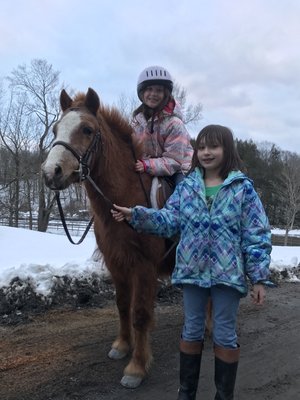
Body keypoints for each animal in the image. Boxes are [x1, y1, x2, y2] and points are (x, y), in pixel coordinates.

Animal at [41, 86, 175, 388]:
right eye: (55, 129)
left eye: (87, 129)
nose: (51, 172)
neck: (125, 200)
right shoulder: (117, 263)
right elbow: (123, 305)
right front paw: (122, 346)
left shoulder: (144, 267)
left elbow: (140, 314)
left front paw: (136, 368)